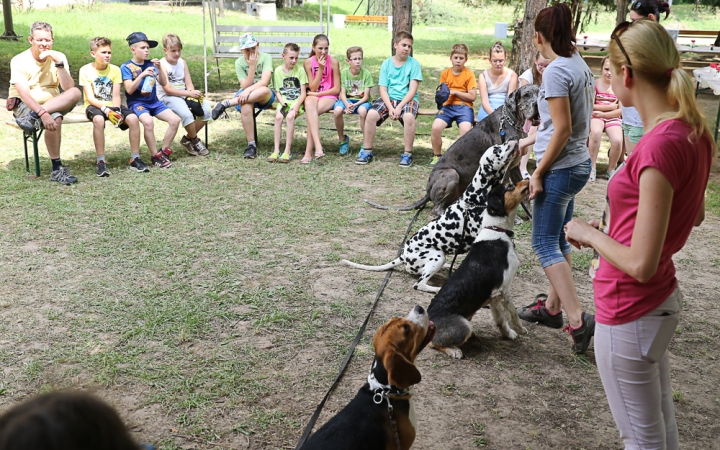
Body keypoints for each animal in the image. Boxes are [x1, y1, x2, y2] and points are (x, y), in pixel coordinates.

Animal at [340, 142, 520, 296]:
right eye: (497, 149)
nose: (513, 140)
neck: (478, 195)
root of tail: (403, 255)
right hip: (437, 256)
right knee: (419, 284)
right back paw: (436, 288)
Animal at [368, 85, 536, 218]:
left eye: (538, 93)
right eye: (526, 95)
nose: (536, 105)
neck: (512, 121)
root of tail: (428, 191)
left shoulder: (514, 168)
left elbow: (525, 193)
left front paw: (529, 215)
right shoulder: (504, 171)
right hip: (451, 174)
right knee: (436, 209)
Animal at [424, 179, 532, 358]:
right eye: (509, 186)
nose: (528, 179)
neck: (496, 231)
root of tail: (428, 323)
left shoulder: (494, 296)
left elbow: (501, 320)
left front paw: (508, 334)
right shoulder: (503, 290)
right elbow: (513, 313)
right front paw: (521, 329)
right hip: (464, 325)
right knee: (433, 344)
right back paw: (454, 350)